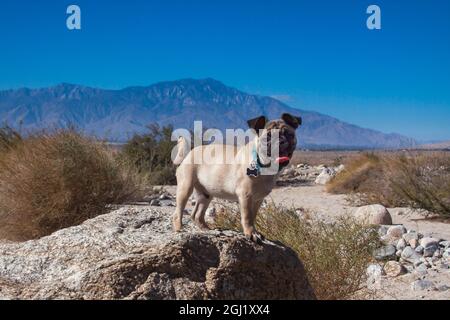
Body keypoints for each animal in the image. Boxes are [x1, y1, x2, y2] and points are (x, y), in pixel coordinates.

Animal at [172, 112, 302, 242]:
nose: (280, 141)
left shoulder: (258, 199)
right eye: (267, 137)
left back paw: (206, 229)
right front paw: (251, 233)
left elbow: (253, 216)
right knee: (178, 212)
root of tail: (188, 154)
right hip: (185, 187)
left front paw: (254, 231)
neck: (261, 162)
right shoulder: (246, 195)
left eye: (289, 134)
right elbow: (247, 216)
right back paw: (179, 230)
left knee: (197, 215)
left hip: (206, 194)